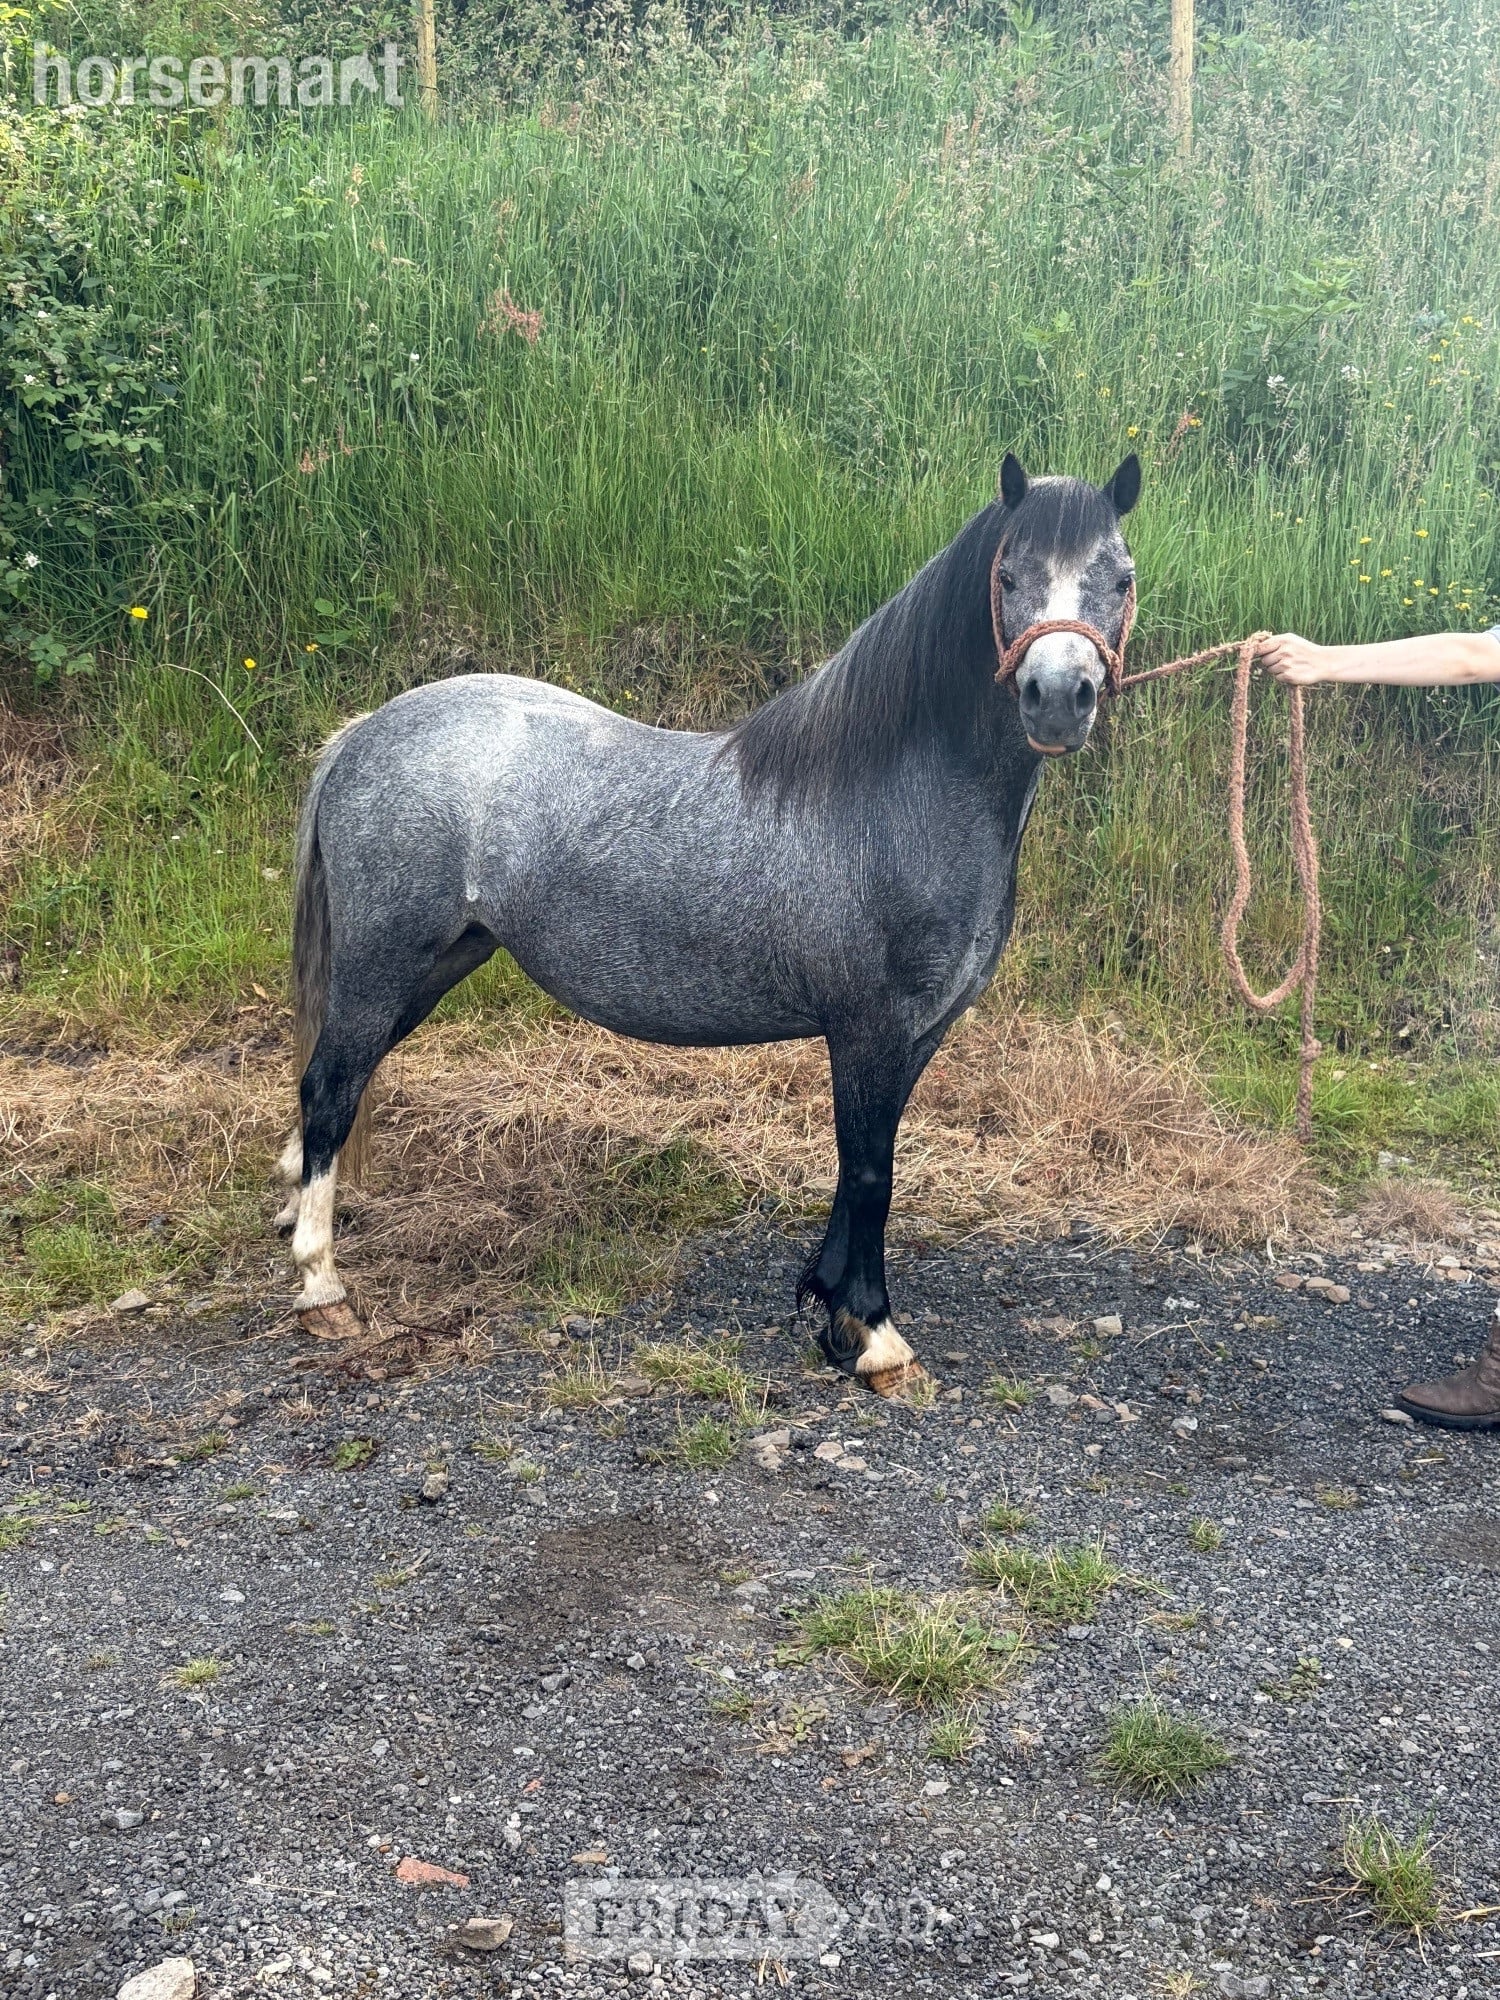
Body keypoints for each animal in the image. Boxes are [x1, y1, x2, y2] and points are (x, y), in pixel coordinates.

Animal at [275, 450, 1141, 1396]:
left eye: (1121, 578)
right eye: (1008, 575)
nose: (1057, 698)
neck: (895, 795)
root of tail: (365, 733)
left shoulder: (917, 1034)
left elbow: (860, 1169)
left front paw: (829, 1306)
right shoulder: (868, 1028)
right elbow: (870, 1170)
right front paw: (874, 1335)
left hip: (436, 963)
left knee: (340, 1084)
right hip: (384, 961)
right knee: (330, 1088)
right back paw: (320, 1285)